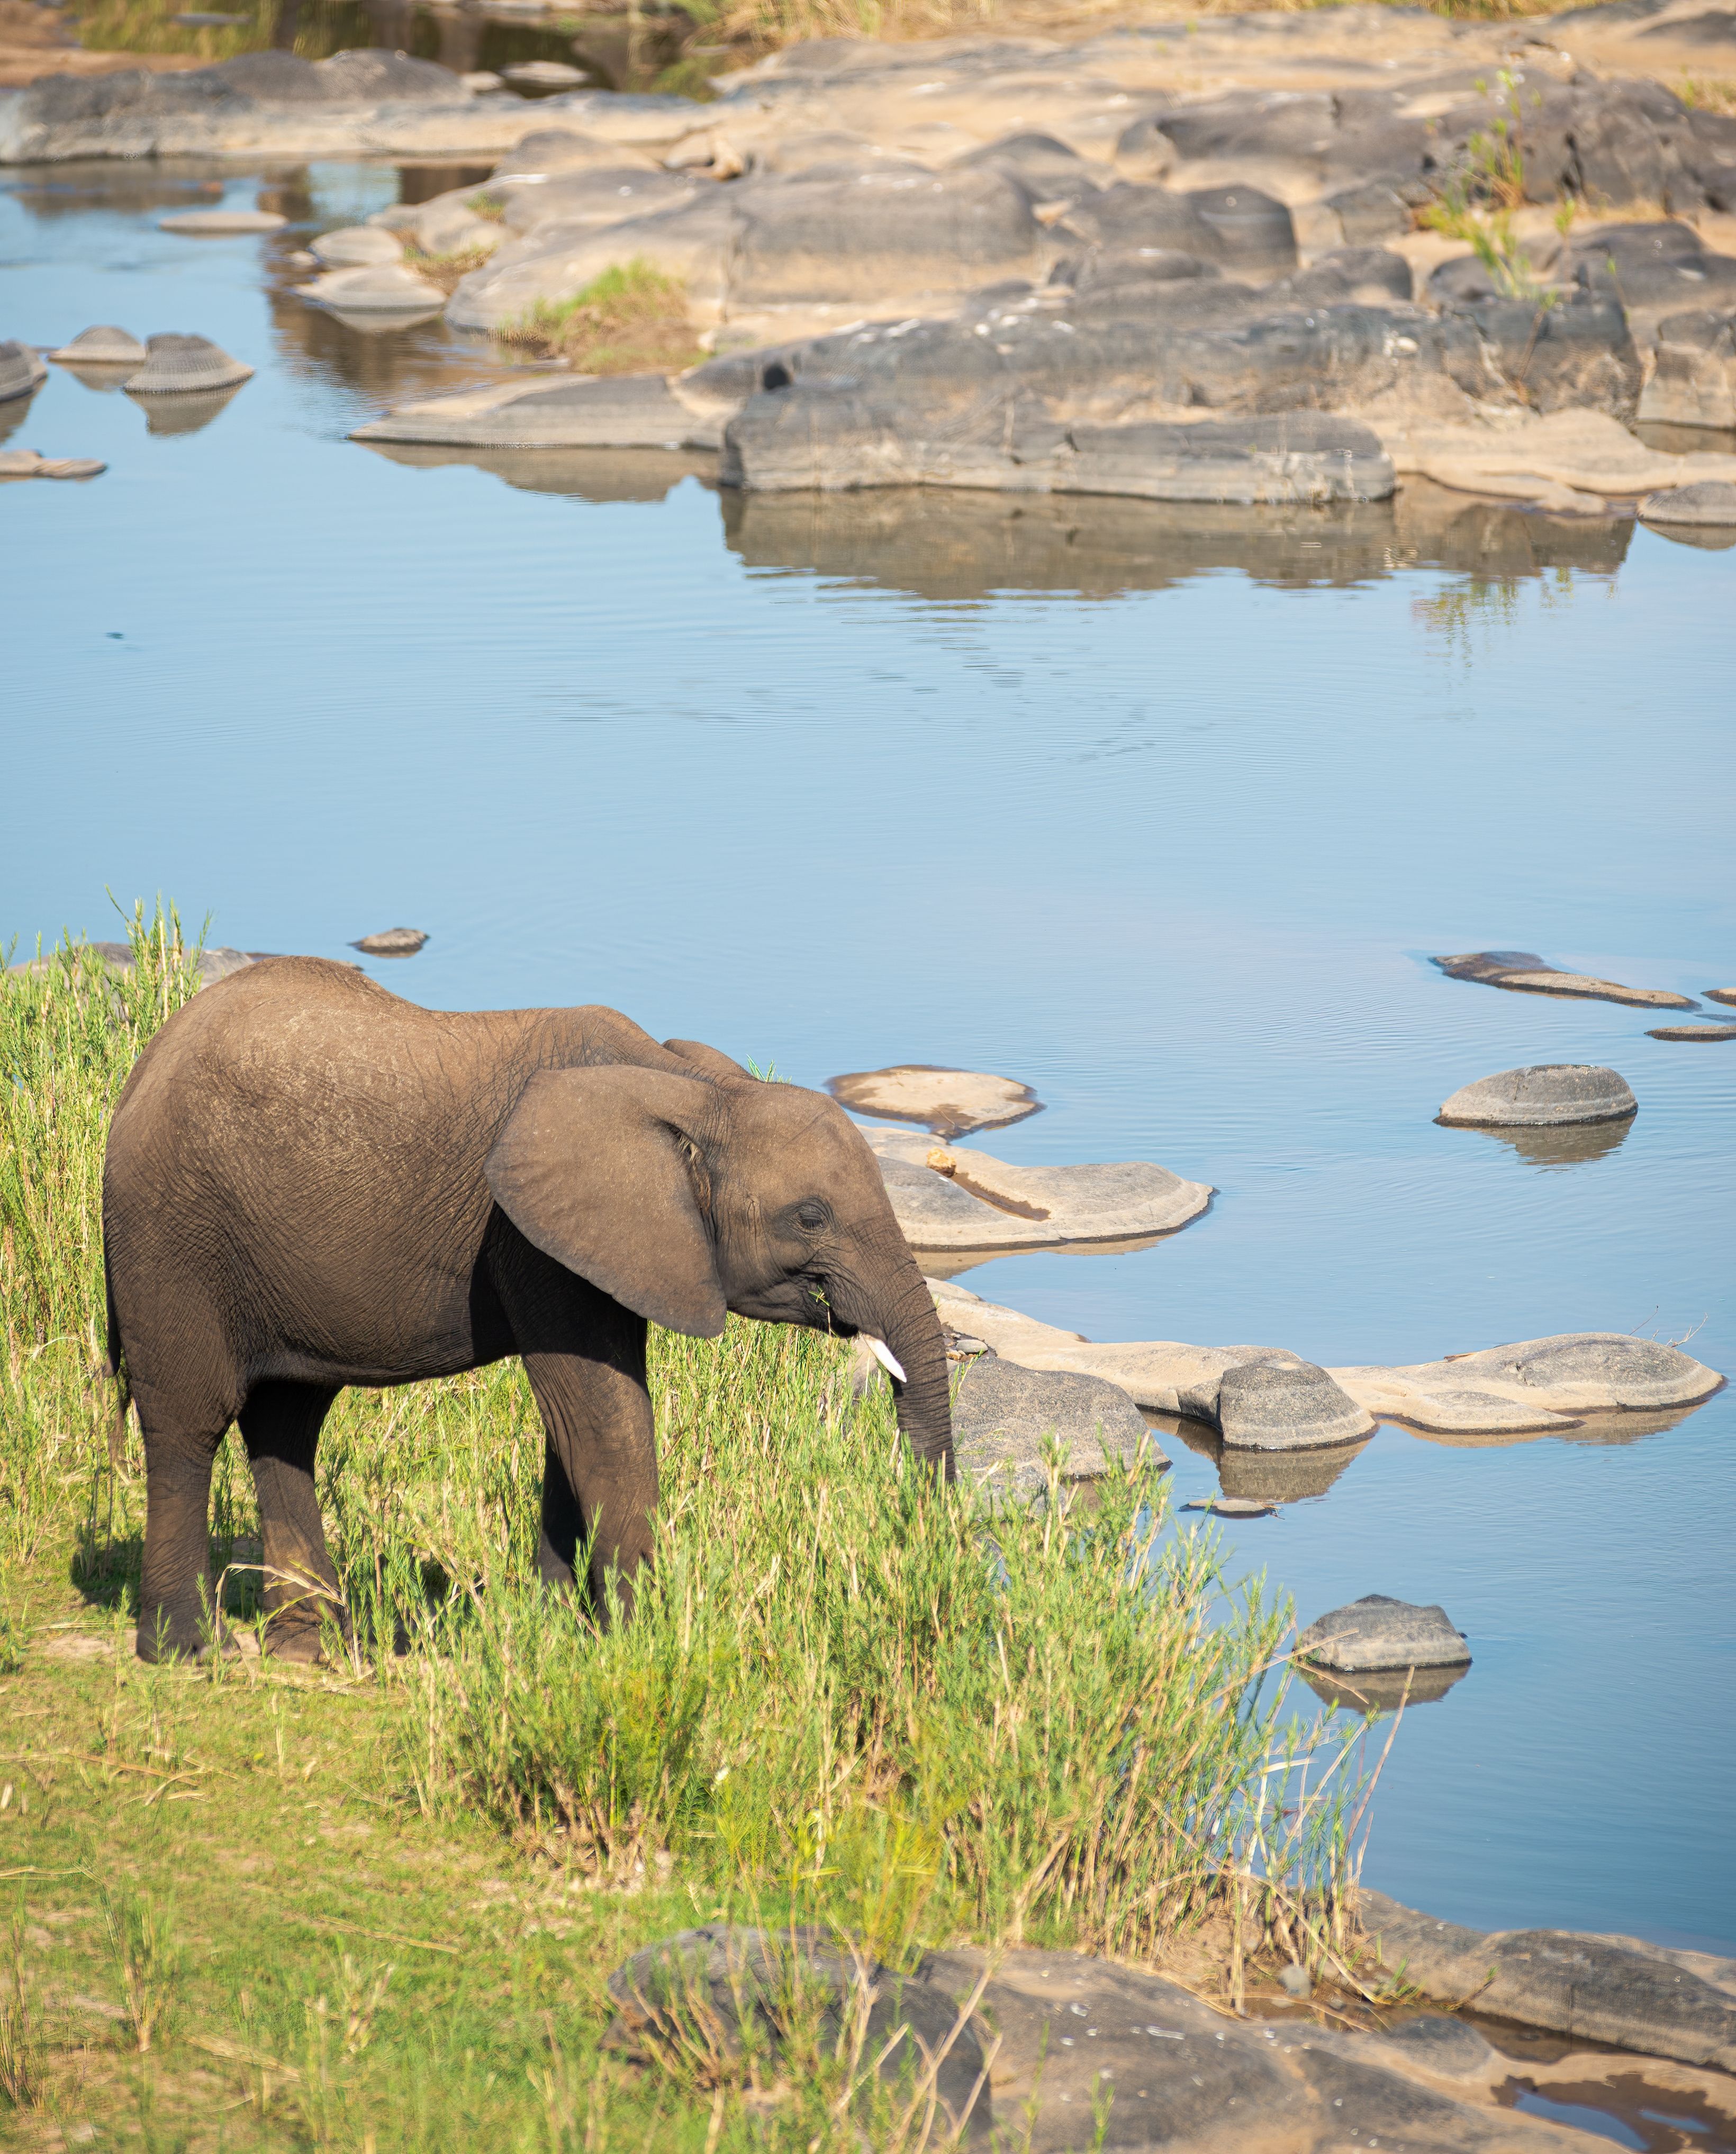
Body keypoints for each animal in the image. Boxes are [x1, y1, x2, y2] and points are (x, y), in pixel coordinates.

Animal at [102, 958, 953, 1663]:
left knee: (287, 1424)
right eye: (810, 1217)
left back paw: (317, 1651)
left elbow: (574, 1420)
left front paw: (562, 1635)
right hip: (171, 1235)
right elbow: (602, 1417)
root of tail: (145, 1067)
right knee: (190, 1423)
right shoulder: (530, 1237)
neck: (690, 1086)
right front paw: (646, 1645)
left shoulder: (600, 1246)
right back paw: (187, 1651)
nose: (920, 1533)